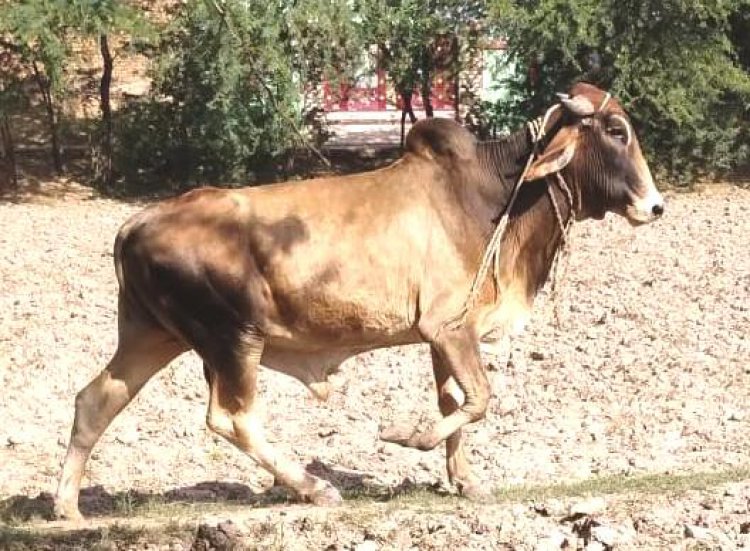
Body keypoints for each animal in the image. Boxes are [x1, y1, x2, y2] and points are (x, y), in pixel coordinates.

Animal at [54, 83, 664, 520]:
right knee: (233, 418)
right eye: (616, 129)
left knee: (96, 400)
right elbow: (479, 399)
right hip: (233, 339)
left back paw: (67, 507)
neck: (494, 197)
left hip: (155, 335)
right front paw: (405, 436)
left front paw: (466, 481)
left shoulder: (442, 336)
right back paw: (313, 487)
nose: (655, 207)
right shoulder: (449, 328)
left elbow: (456, 403)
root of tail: (135, 222)